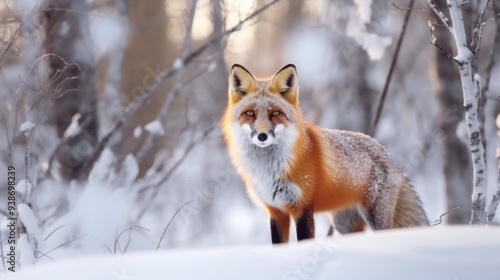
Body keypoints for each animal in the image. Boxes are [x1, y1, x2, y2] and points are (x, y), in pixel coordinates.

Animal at [221, 63, 428, 243]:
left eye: (275, 114)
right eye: (250, 114)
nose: (262, 136)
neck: (268, 170)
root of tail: (386, 152)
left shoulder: (303, 207)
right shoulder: (276, 211)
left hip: (375, 218)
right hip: (343, 224)